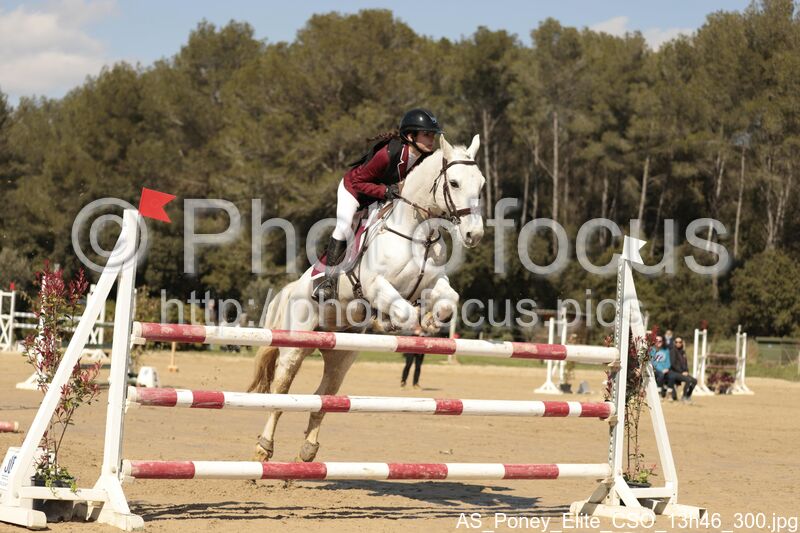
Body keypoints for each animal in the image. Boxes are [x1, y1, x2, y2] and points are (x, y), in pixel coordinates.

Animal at [247, 134, 486, 463]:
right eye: (454, 182)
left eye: (481, 184)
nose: (475, 234)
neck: (417, 234)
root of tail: (294, 287)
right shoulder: (375, 285)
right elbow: (403, 311)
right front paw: (392, 323)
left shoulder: (433, 283)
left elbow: (450, 298)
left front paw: (431, 321)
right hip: (296, 344)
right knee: (282, 390)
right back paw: (264, 446)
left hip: (342, 354)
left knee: (324, 396)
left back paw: (308, 450)